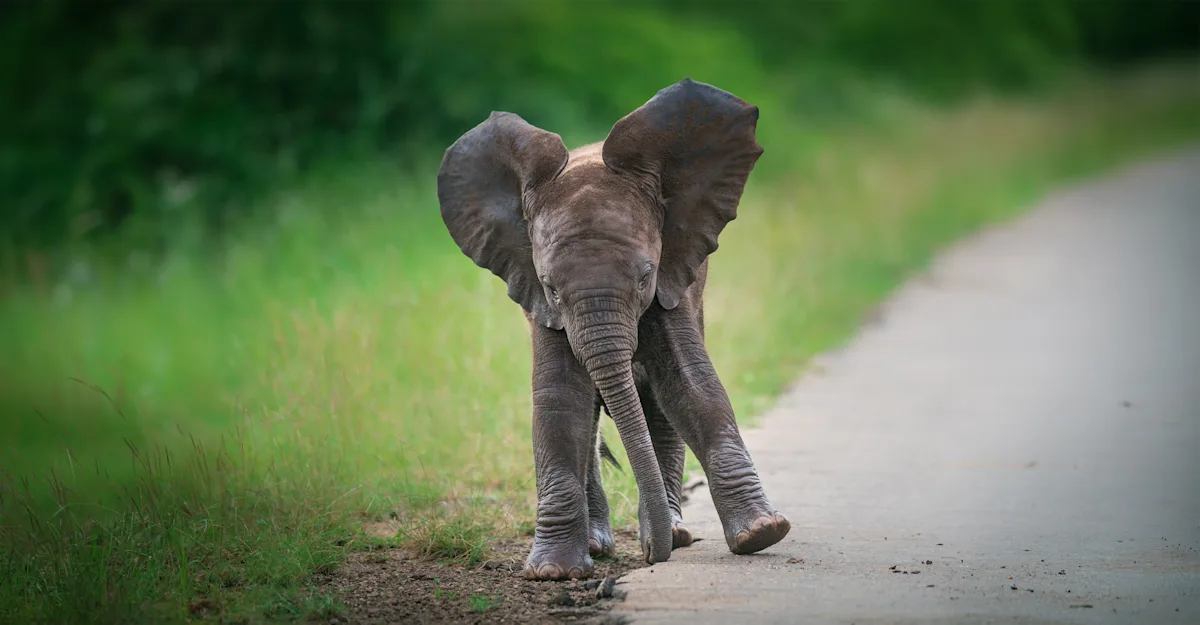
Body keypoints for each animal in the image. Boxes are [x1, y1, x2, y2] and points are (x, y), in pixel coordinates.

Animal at [436, 78, 790, 580]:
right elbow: (561, 399)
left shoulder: (672, 278)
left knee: (656, 406)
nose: (651, 555)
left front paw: (762, 535)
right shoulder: (537, 298)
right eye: (551, 287)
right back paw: (600, 543)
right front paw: (554, 572)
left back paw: (674, 532)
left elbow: (691, 386)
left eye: (645, 276)